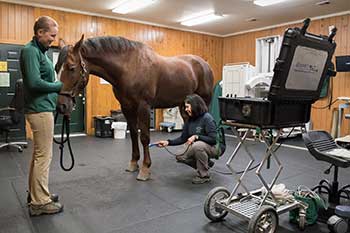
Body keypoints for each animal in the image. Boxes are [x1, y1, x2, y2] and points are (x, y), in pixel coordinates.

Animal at [55, 35, 213, 180]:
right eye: (56, 68)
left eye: (72, 68)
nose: (61, 106)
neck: (129, 67)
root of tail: (204, 64)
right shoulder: (127, 107)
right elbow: (133, 135)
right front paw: (133, 164)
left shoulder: (143, 107)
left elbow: (144, 137)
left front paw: (145, 169)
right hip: (184, 105)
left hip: (203, 102)